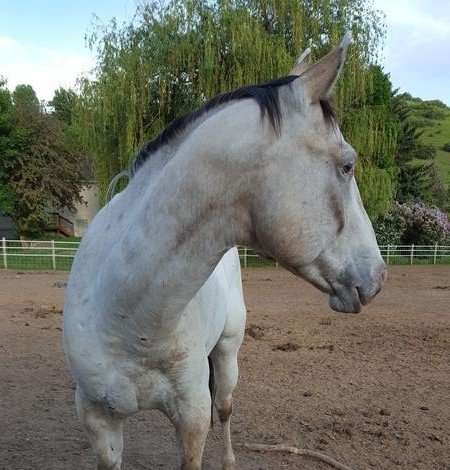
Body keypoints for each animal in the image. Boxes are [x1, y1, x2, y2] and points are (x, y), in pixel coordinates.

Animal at [63, 33, 386, 470]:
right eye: (348, 165)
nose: (379, 276)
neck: (129, 317)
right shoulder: (99, 422)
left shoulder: (193, 419)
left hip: (228, 353)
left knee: (227, 407)